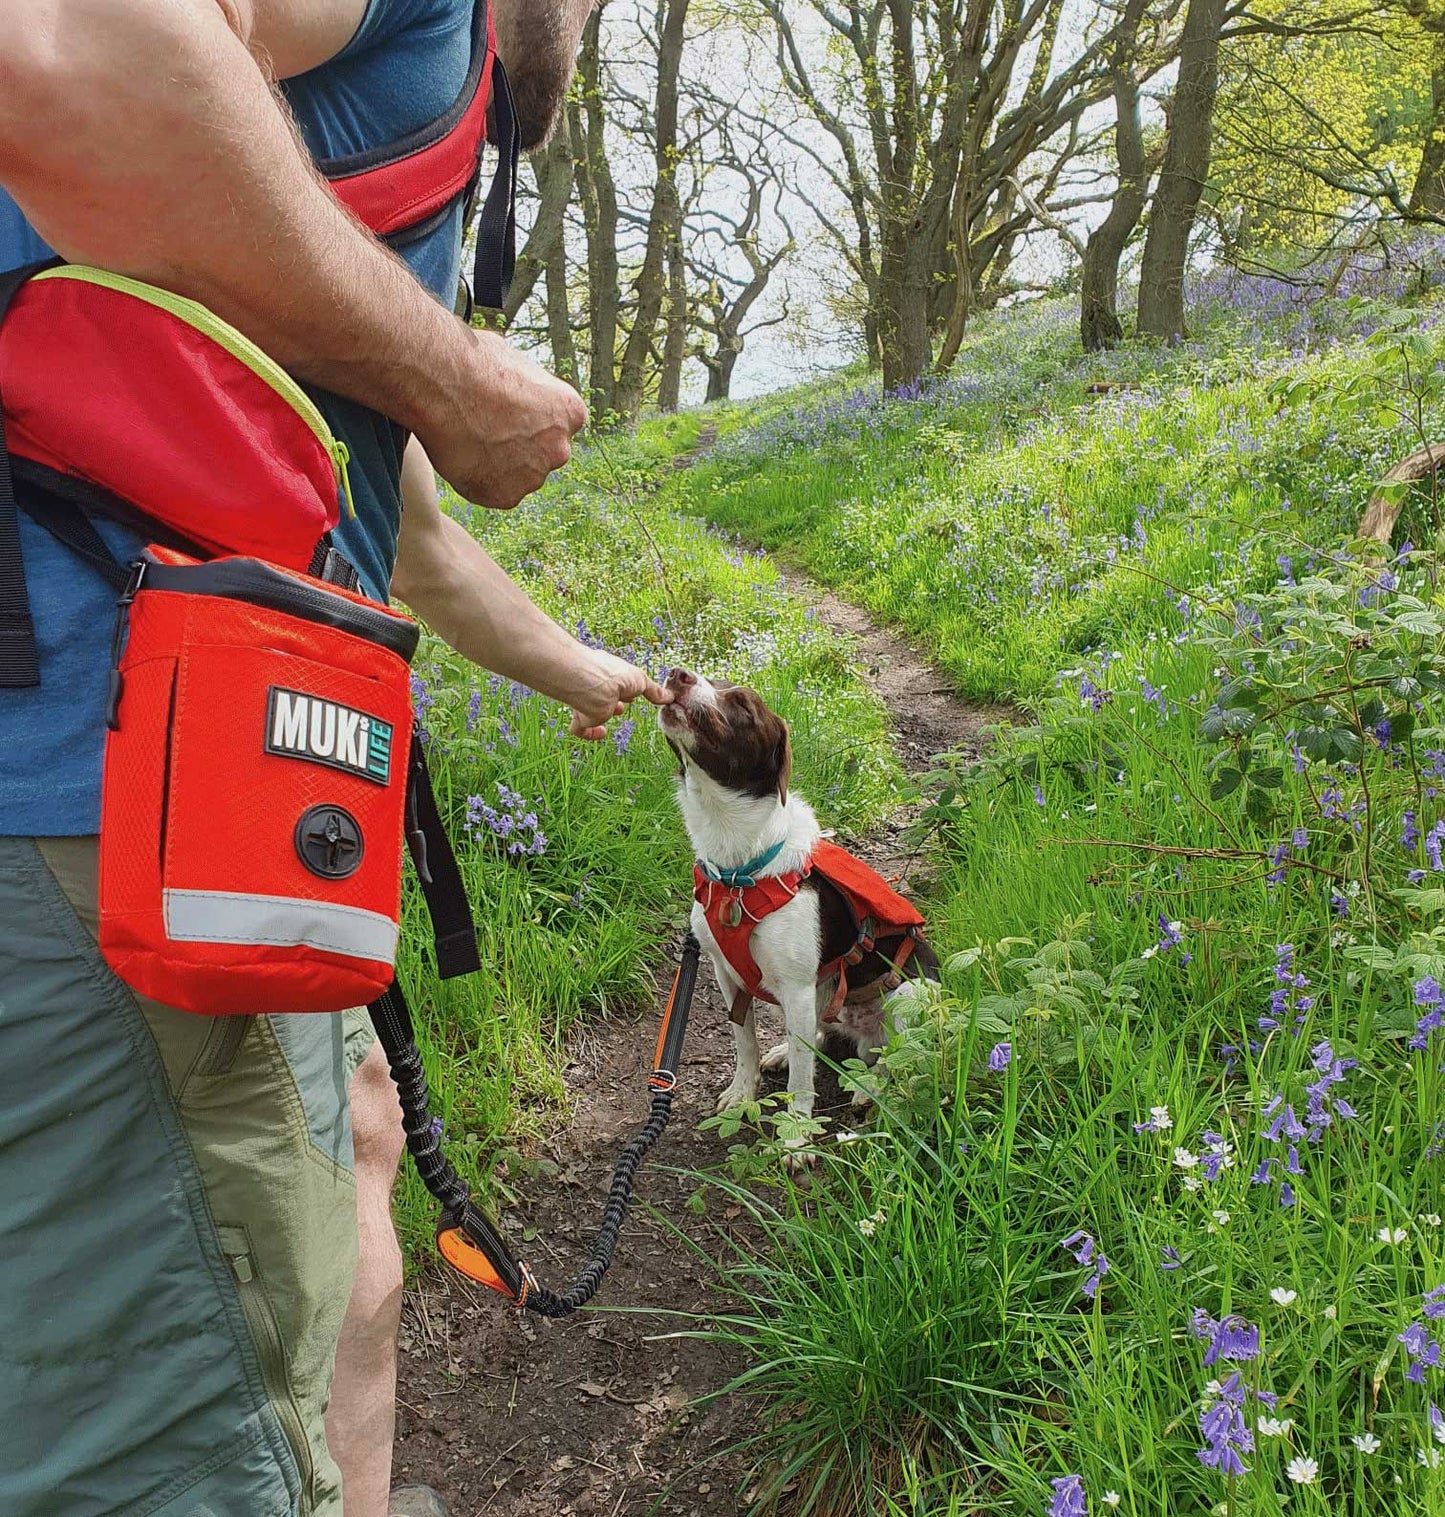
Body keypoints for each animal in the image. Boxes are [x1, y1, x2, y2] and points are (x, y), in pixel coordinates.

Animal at [658, 664, 934, 1140]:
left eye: (743, 705)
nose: (677, 673)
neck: (737, 868)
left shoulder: (799, 987)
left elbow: (803, 1080)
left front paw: (796, 1134)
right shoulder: (727, 974)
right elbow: (744, 1042)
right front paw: (742, 1093)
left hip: (908, 994)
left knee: (896, 1058)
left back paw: (871, 1090)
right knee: (824, 1037)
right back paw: (786, 1050)